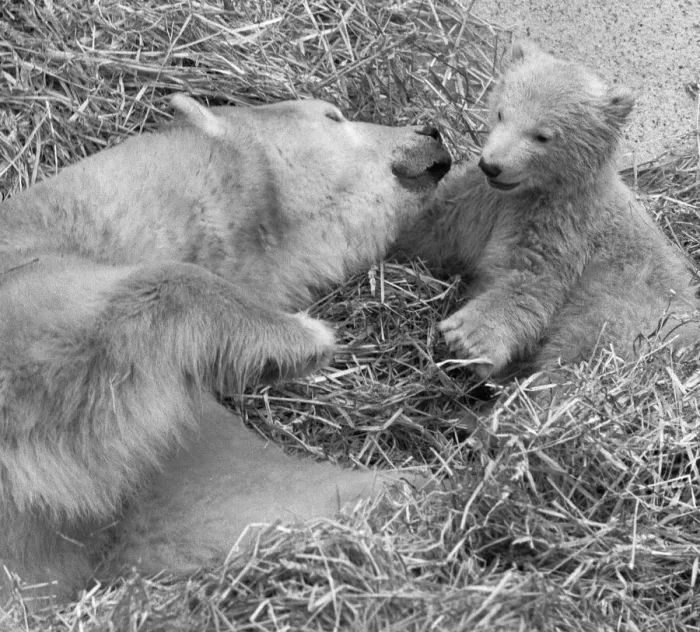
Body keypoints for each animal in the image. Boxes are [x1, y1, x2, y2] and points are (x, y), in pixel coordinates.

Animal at [0, 95, 451, 606]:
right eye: (331, 115)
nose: (431, 131)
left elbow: (223, 501)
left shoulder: (159, 452)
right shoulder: (28, 286)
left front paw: (409, 484)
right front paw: (302, 336)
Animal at [396, 40, 699, 380]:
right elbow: (434, 226)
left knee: (581, 349)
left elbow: (531, 283)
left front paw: (468, 337)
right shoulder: (481, 199)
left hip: (629, 307)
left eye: (542, 135)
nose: (492, 165)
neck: (537, 191)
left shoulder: (566, 225)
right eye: (501, 113)